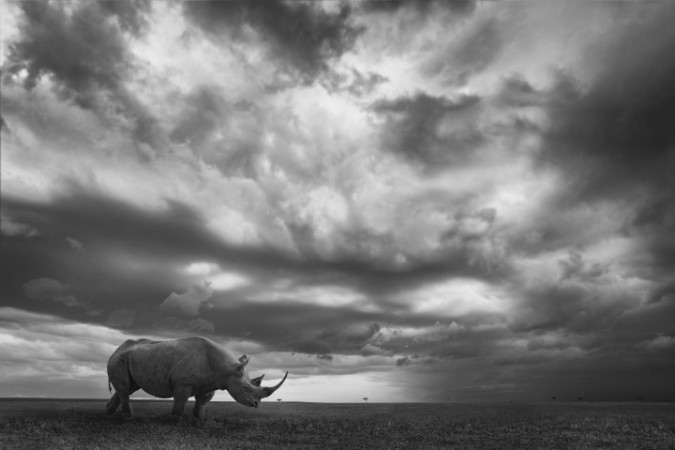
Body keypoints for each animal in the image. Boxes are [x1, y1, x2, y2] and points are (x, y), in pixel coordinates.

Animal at [106, 337, 288, 418]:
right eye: (246, 388)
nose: (256, 404)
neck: (226, 369)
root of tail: (116, 350)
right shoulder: (183, 383)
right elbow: (179, 404)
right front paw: (175, 421)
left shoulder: (211, 383)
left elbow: (202, 403)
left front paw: (199, 420)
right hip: (119, 360)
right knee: (125, 389)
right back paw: (129, 417)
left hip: (128, 359)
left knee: (129, 387)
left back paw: (110, 414)